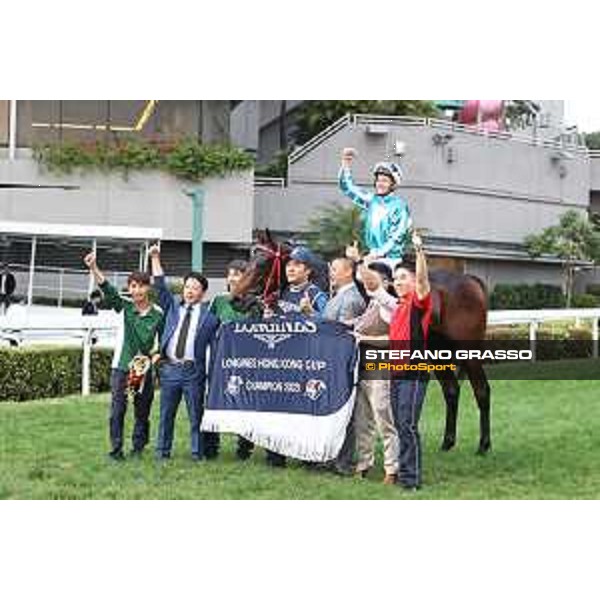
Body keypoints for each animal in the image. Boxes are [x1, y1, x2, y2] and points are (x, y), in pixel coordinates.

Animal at [234, 230, 492, 454]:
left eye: (262, 262)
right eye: (249, 259)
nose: (237, 298)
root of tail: (471, 281)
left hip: (467, 351)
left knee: (481, 390)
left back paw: (483, 445)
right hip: (438, 351)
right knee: (451, 390)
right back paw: (447, 443)